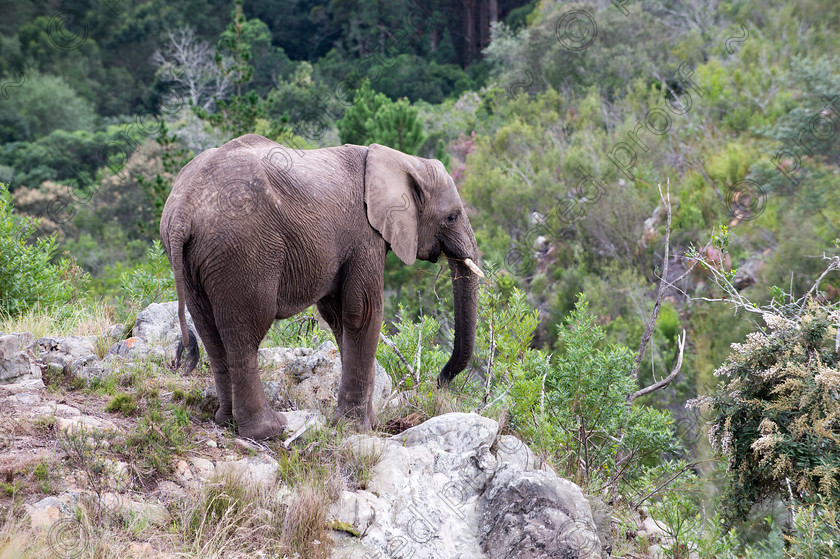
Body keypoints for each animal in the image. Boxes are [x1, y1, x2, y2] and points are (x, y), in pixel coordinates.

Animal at [160, 133, 482, 440]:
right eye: (452, 216)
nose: (440, 382)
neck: (402, 160)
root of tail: (182, 211)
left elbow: (338, 317)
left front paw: (368, 424)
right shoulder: (364, 235)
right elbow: (363, 313)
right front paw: (356, 427)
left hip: (195, 261)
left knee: (210, 331)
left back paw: (226, 421)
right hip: (242, 250)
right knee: (245, 332)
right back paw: (269, 430)